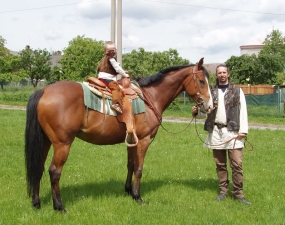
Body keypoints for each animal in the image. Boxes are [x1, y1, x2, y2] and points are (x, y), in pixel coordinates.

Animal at [24, 57, 212, 212]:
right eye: (202, 81)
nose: (209, 106)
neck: (150, 97)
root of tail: (43, 91)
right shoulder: (143, 140)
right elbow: (139, 169)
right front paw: (138, 196)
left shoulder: (131, 140)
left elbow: (130, 165)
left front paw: (128, 191)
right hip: (62, 143)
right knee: (54, 171)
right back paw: (59, 206)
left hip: (45, 141)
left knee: (38, 168)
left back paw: (36, 203)